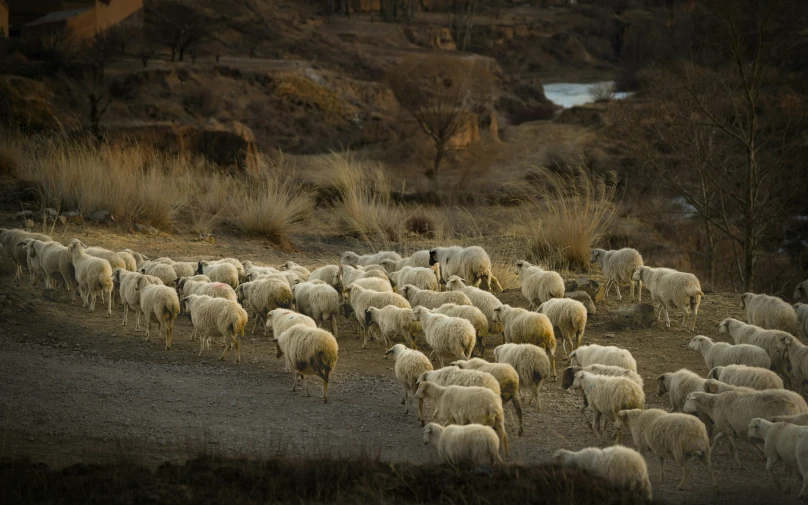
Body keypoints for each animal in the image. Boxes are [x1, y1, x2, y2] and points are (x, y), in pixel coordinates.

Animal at [680, 388, 808, 466]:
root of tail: (801, 403)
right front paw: (712, 452)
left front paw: (737, 462)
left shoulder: (728, 429)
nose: (684, 410)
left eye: (687, 399)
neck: (714, 404)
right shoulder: (727, 428)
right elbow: (717, 438)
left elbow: (735, 446)